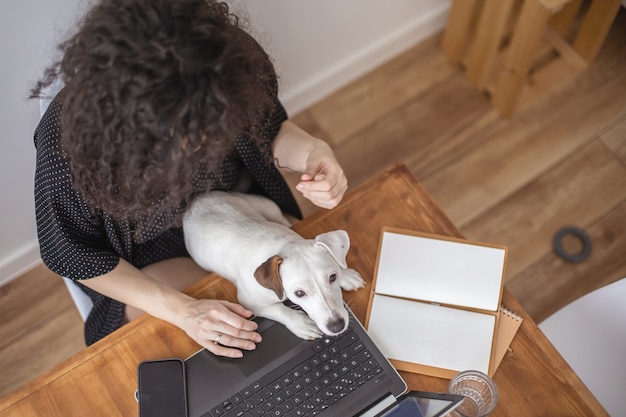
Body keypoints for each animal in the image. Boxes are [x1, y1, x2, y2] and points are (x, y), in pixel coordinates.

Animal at [183, 190, 364, 340]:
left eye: (333, 277)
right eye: (299, 293)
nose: (337, 326)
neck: (281, 247)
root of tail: (196, 200)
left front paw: (346, 275)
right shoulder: (250, 303)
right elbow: (279, 310)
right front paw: (301, 323)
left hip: (266, 206)